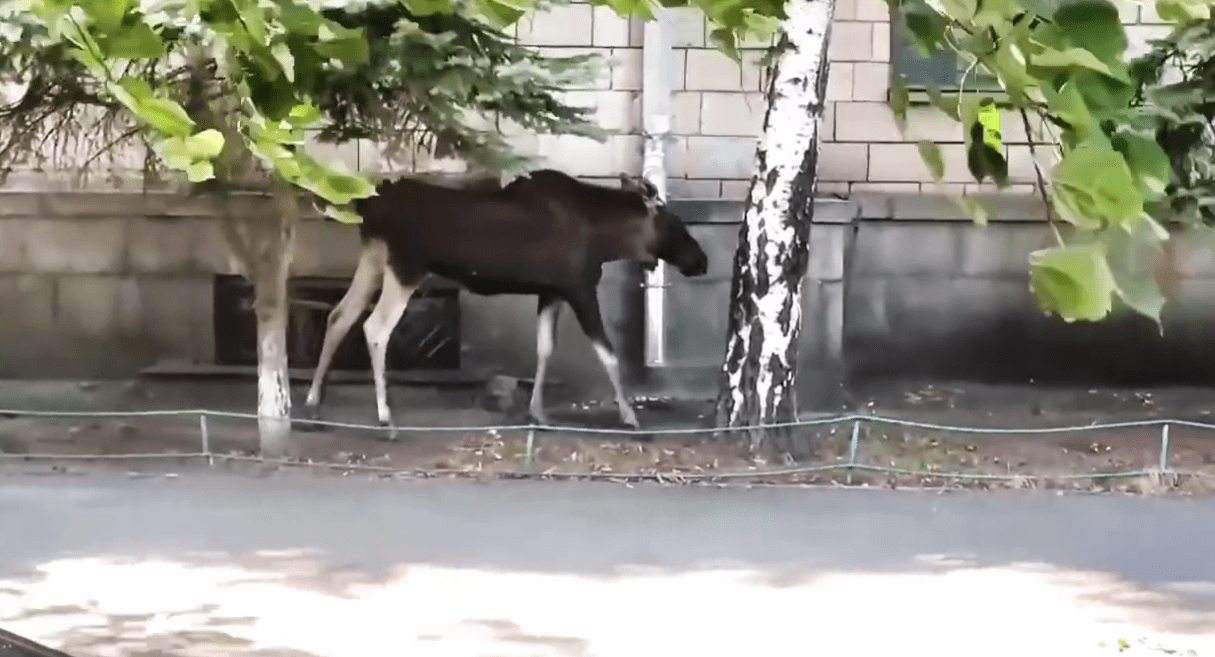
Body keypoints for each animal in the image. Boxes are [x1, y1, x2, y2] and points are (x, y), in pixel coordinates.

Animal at [297, 167, 709, 439]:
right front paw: (631, 418)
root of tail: (368, 208)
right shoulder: (579, 288)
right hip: (406, 265)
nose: (701, 260)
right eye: (675, 221)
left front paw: (538, 412)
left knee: (340, 315)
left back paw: (314, 405)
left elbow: (545, 348)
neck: (608, 238)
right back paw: (385, 420)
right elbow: (608, 354)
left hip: (374, 258)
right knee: (375, 327)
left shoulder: (551, 291)